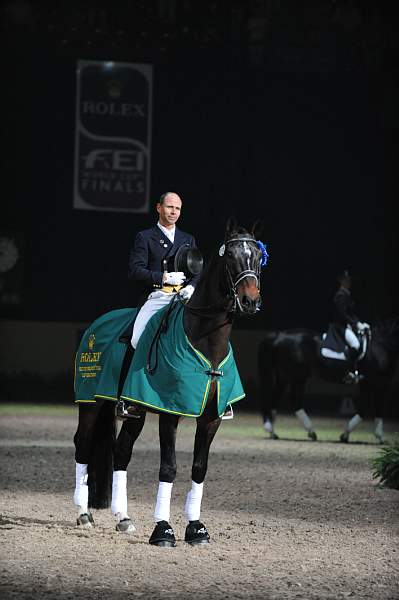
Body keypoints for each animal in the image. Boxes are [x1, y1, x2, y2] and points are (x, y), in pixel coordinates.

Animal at [258, 322, 398, 442]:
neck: (381, 347)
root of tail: (280, 335)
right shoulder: (379, 384)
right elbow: (374, 409)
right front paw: (380, 437)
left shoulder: (370, 385)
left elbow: (366, 409)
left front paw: (346, 435)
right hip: (295, 376)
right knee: (292, 400)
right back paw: (307, 431)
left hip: (286, 376)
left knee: (276, 398)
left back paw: (273, 432)